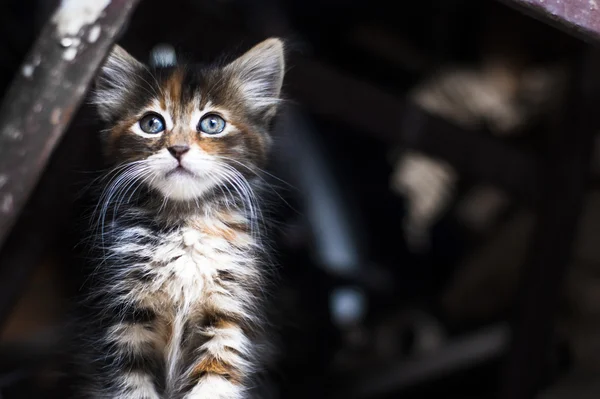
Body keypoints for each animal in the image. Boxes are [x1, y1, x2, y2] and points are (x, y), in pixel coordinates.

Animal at [69, 38, 284, 399]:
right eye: (151, 124)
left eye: (212, 124)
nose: (179, 149)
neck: (184, 223)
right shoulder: (124, 322)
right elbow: (132, 386)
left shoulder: (227, 319)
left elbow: (214, 382)